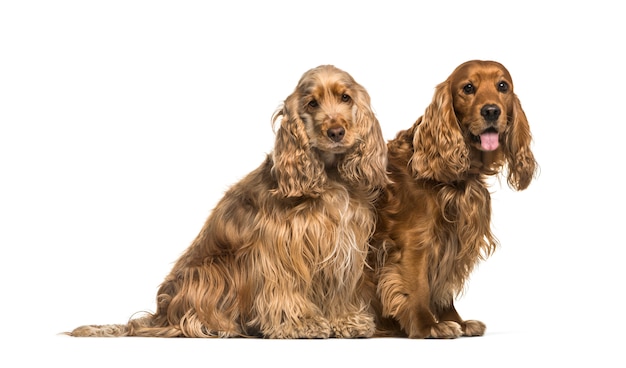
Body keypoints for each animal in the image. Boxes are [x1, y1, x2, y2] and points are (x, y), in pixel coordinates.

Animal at [69, 64, 390, 338]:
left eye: (346, 97)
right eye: (312, 104)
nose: (336, 132)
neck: (330, 175)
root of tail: (161, 313)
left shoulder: (345, 244)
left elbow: (340, 289)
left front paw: (347, 321)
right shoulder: (280, 248)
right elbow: (286, 286)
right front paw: (300, 323)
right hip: (211, 270)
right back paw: (216, 326)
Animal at [366, 60, 536, 340]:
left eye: (502, 86)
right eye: (468, 88)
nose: (491, 111)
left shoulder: (452, 241)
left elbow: (444, 287)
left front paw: (456, 320)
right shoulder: (416, 240)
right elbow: (418, 286)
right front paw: (428, 326)